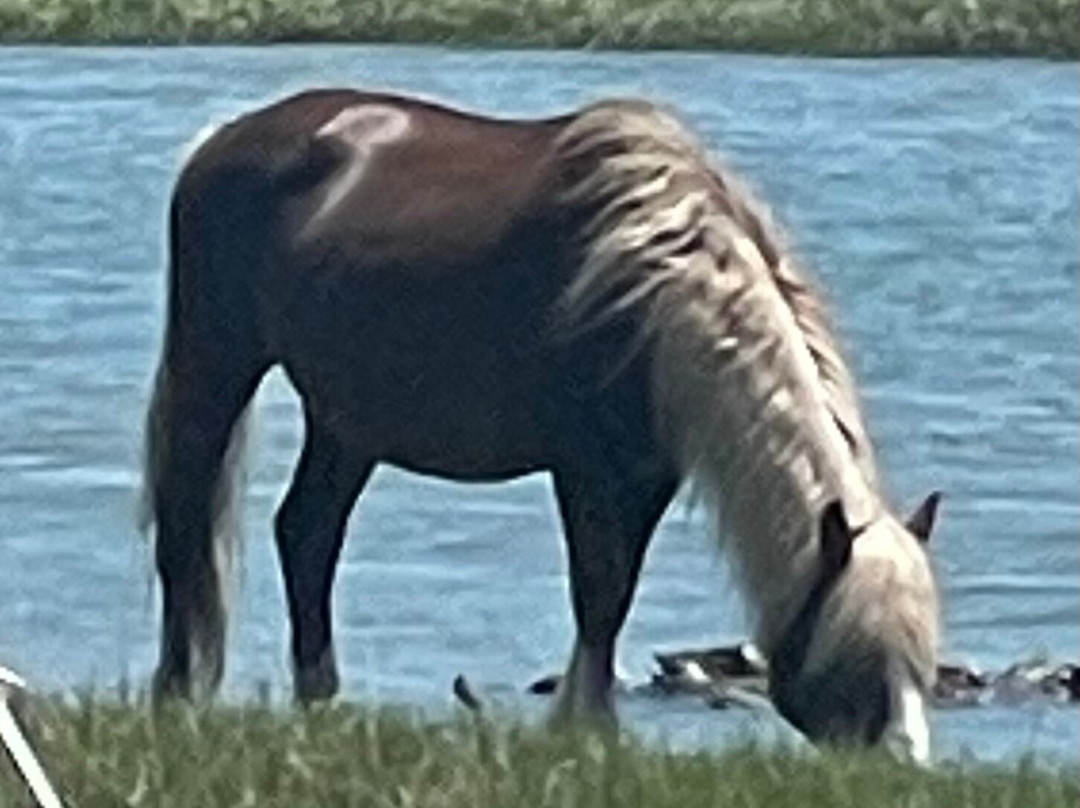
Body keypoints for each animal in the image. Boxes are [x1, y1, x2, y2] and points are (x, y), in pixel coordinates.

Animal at [141, 88, 942, 758]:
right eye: (853, 657)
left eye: (920, 661)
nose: (902, 765)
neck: (656, 286)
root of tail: (224, 136)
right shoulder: (584, 467)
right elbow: (597, 590)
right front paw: (590, 728)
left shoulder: (647, 474)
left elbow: (616, 594)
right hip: (217, 366)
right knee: (187, 524)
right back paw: (177, 696)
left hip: (347, 422)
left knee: (307, 533)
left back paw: (319, 699)